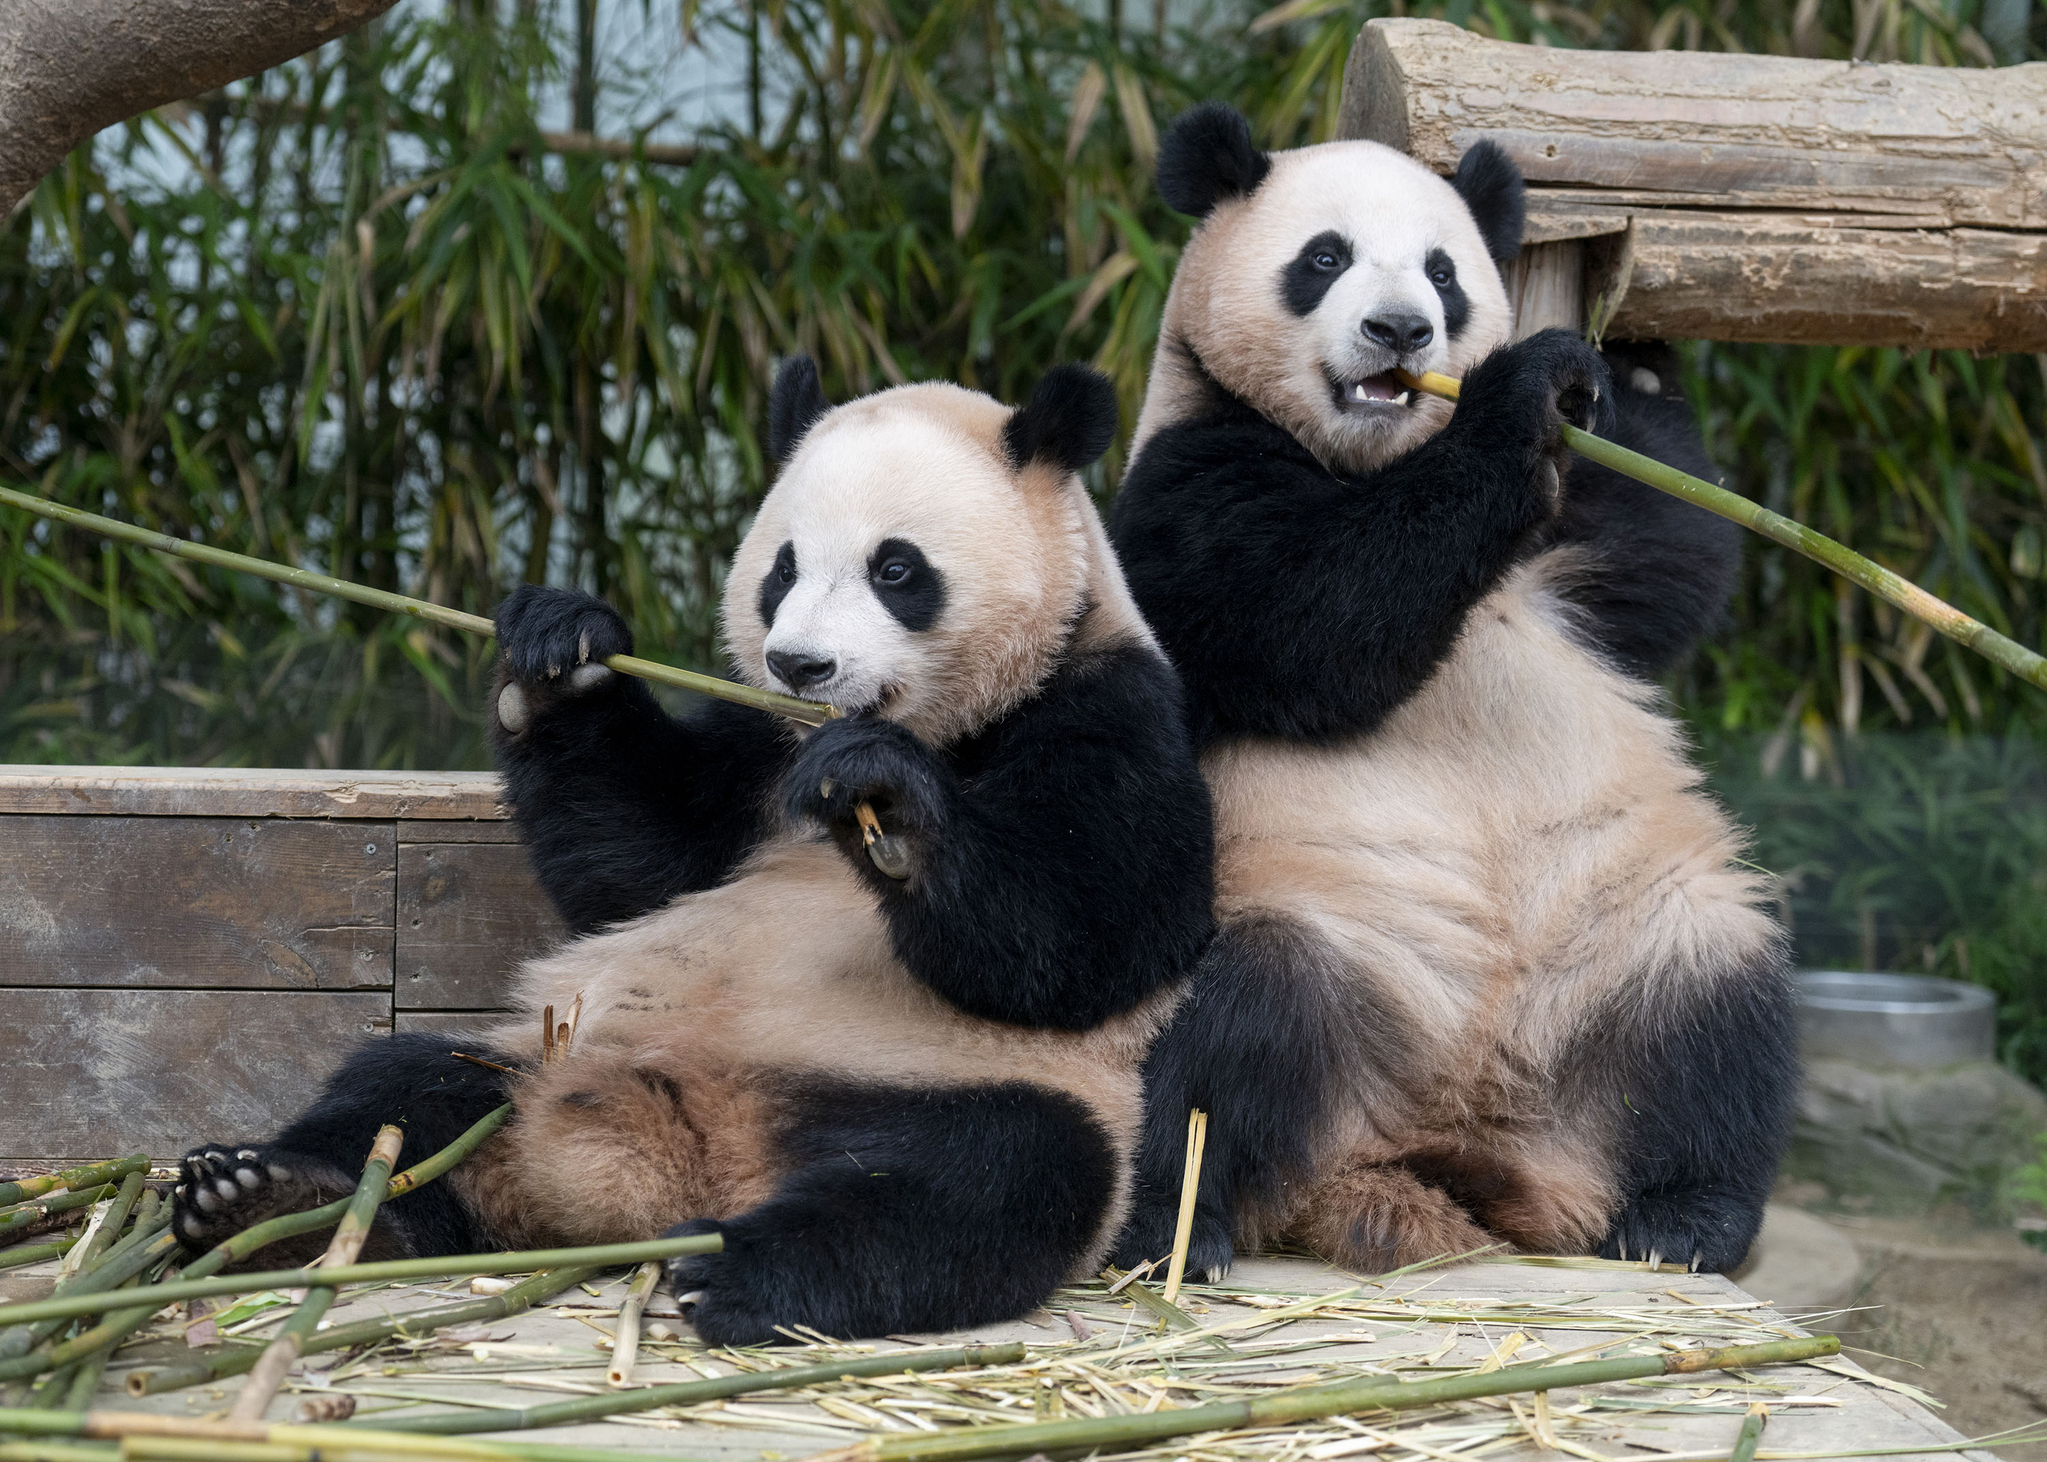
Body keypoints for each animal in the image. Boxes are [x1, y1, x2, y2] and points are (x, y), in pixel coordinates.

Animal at [173, 360, 1216, 1344]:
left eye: (896, 570)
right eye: (782, 570)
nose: (801, 666)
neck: (949, 730)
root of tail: (683, 1173)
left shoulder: (1107, 705)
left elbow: (1092, 935)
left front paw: (883, 795)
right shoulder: (756, 745)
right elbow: (642, 868)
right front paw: (560, 650)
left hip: (963, 1085)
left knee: (982, 1179)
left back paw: (743, 1274)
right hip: (533, 1061)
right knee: (402, 1093)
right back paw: (275, 1203)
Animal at [1104, 103, 1797, 1280]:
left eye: (1443, 271)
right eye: (1323, 258)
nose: (1401, 333)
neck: (1369, 457)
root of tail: (1439, 1141)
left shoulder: (1573, 559)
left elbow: (1677, 553)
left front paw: (1631, 365)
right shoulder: (1186, 485)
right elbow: (1315, 617)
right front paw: (1518, 392)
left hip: (1627, 941)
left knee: (1716, 1024)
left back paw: (1683, 1217)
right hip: (1317, 927)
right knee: (1225, 1029)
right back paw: (1173, 1230)